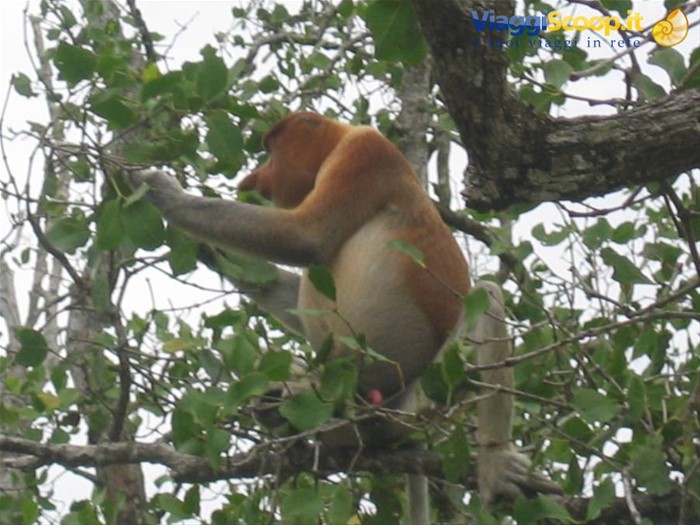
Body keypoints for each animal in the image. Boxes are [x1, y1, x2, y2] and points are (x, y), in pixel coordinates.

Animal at [127, 112, 560, 519]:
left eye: (271, 151)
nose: (254, 177)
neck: (337, 142)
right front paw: (208, 250)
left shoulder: (364, 154)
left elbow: (305, 237)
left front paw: (159, 190)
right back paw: (279, 406)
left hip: (418, 399)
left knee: (487, 295)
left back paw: (495, 462)